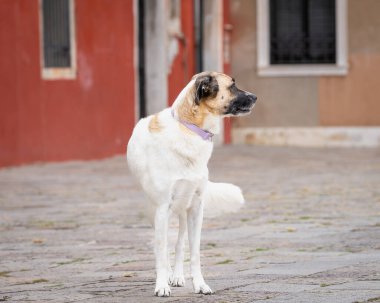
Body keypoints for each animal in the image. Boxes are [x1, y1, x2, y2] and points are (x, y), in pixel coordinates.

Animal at [127, 71, 255, 296]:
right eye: (232, 86)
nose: (255, 97)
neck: (189, 128)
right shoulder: (161, 209)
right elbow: (161, 252)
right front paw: (162, 285)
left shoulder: (196, 208)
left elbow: (194, 252)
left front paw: (200, 284)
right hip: (156, 212)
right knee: (164, 247)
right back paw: (170, 276)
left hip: (183, 209)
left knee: (180, 243)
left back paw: (177, 276)